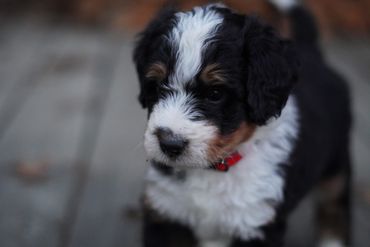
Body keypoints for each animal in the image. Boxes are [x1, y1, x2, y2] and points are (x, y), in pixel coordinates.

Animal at [132, 0, 352, 246]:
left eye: (215, 94)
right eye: (157, 86)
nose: (169, 144)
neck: (215, 169)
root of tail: (312, 52)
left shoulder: (257, 220)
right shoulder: (165, 211)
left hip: (336, 163)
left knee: (334, 207)